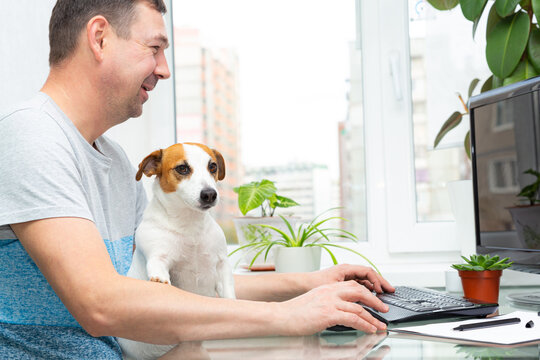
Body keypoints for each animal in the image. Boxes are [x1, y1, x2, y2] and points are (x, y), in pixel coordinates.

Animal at [117, 142, 235, 358]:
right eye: (182, 168)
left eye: (213, 166)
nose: (209, 194)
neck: (189, 226)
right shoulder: (158, 256)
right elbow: (159, 269)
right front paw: (161, 279)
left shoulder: (221, 263)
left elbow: (229, 291)